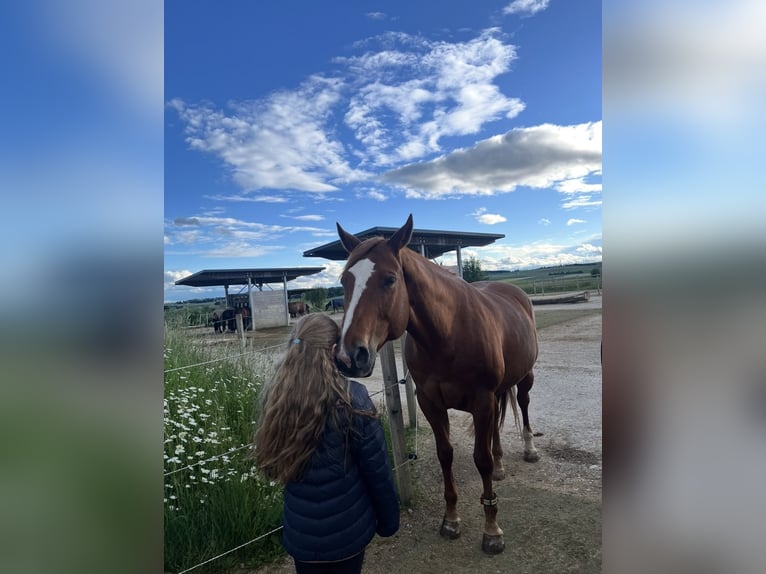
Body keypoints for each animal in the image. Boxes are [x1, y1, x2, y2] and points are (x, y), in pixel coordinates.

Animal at [333, 214, 539, 555]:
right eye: (344, 282)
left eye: (390, 280)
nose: (349, 356)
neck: (448, 333)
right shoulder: (430, 402)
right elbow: (446, 455)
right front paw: (451, 519)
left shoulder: (481, 400)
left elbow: (480, 459)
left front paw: (492, 530)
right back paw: (500, 465)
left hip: (525, 377)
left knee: (522, 405)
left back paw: (529, 448)